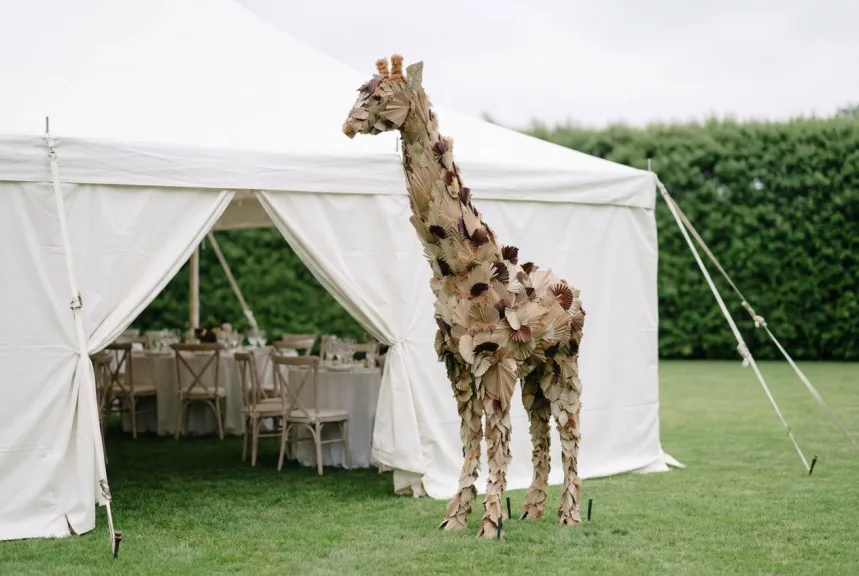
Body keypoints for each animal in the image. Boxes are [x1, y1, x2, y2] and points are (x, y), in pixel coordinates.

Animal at [342, 54, 585, 539]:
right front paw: (456, 517)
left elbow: (495, 440)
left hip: (564, 364)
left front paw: (489, 524)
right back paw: (532, 511)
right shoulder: (457, 360)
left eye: (380, 95)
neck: (459, 266)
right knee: (540, 430)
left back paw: (569, 516)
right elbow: (471, 436)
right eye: (362, 91)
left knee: (569, 427)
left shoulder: (493, 359)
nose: (347, 125)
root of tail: (576, 297)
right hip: (536, 372)